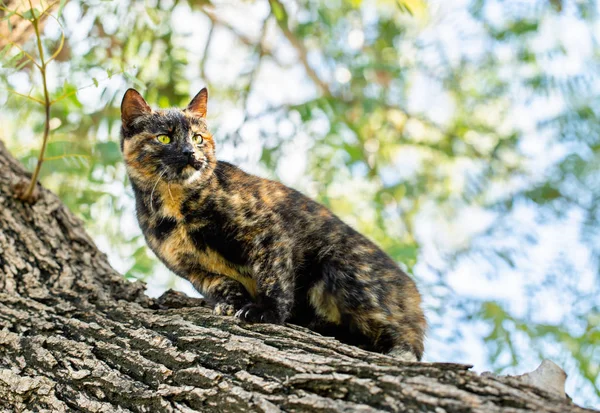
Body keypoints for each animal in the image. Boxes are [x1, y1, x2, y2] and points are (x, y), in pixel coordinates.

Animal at [119, 88, 426, 358]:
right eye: (164, 138)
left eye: (198, 138)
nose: (190, 153)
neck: (176, 206)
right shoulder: (194, 270)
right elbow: (222, 285)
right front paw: (231, 305)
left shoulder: (265, 230)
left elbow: (272, 276)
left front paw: (266, 312)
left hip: (343, 269)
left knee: (403, 339)